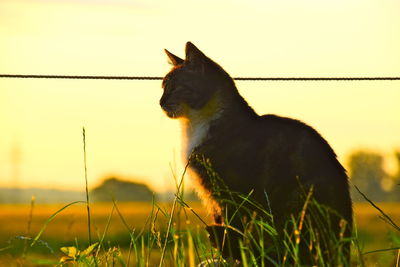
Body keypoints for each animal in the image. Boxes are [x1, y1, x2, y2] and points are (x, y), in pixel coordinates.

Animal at [159, 42, 354, 266]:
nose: (160, 102)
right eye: (163, 87)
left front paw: (229, 257)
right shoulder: (212, 196)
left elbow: (231, 226)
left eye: (175, 87)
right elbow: (221, 221)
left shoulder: (230, 191)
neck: (195, 124)